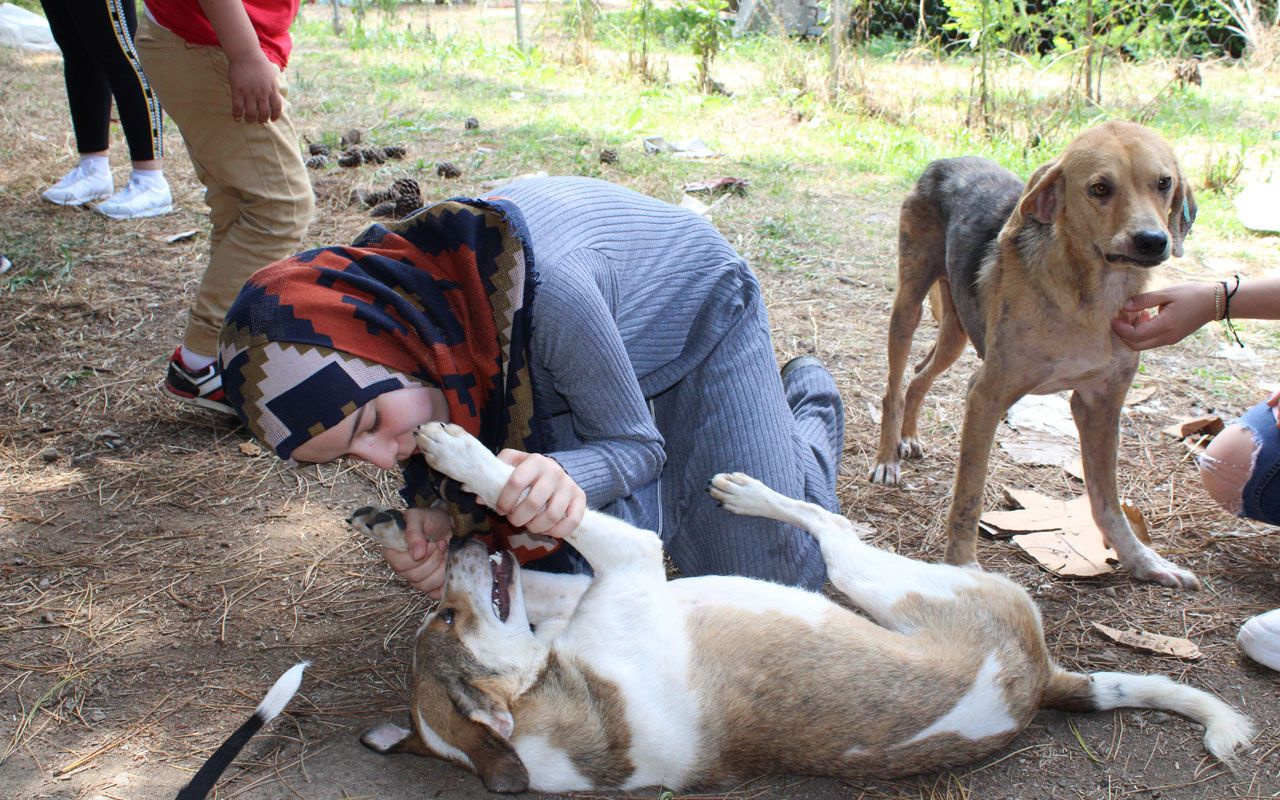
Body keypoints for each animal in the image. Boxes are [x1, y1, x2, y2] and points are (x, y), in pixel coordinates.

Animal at [355, 424, 1254, 793]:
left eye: (444, 621)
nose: (462, 551)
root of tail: (1041, 683)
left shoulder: (611, 574)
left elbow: (543, 549)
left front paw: (455, 477)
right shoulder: (628, 565)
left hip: (870, 583)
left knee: (830, 522)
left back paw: (745, 490)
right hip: (878, 579)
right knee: (834, 528)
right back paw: (750, 492)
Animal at [870, 121, 1198, 588]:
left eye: (1164, 183)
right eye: (1100, 188)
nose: (1153, 241)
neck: (1089, 298)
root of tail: (947, 160)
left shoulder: (1101, 404)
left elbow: (1108, 501)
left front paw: (1142, 560)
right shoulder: (986, 394)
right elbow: (969, 496)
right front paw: (962, 565)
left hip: (957, 333)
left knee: (918, 375)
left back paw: (909, 437)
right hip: (909, 304)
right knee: (894, 387)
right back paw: (887, 459)